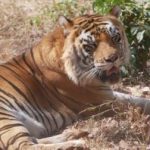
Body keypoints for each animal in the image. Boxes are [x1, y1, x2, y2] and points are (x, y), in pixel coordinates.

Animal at [0, 5, 150, 149]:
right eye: (91, 45)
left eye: (115, 38)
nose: (113, 58)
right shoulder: (102, 102)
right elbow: (136, 104)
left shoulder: (107, 94)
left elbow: (137, 99)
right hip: (6, 118)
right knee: (23, 146)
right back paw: (78, 143)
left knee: (34, 140)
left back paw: (76, 133)